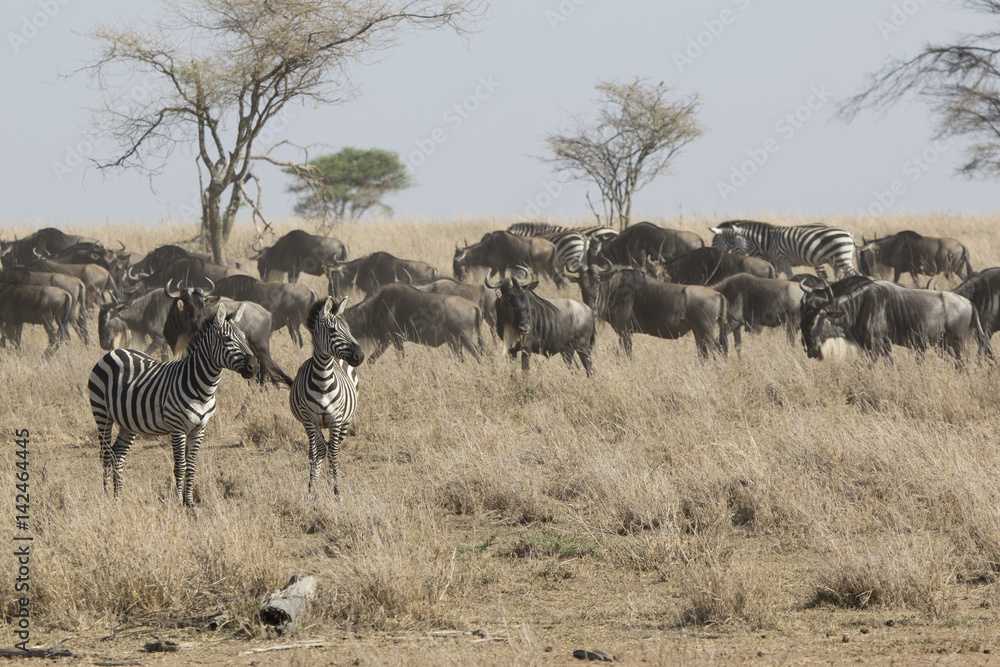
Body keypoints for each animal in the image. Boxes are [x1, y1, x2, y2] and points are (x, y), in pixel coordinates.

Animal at [88, 303, 259, 514]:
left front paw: (190, 505)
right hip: (102, 413)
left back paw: (118, 498)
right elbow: (180, 466)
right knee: (105, 454)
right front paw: (178, 504)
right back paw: (106, 499)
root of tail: (115, 351)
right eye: (227, 339)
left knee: (117, 454)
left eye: (244, 337)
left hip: (128, 422)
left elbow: (191, 467)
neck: (203, 388)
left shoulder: (199, 430)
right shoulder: (178, 429)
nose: (254, 367)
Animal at [289, 296, 365, 498]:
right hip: (312, 424)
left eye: (348, 328)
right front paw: (310, 489)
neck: (323, 380)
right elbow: (316, 452)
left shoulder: (336, 420)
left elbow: (334, 453)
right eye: (332, 330)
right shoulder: (309, 421)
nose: (360, 355)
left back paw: (331, 480)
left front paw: (337, 492)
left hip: (346, 421)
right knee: (321, 448)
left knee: (332, 447)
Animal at [710, 220, 858, 281]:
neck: (768, 240)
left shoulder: (782, 259)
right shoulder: (776, 262)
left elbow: (790, 276)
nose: (733, 256)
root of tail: (849, 234)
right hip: (836, 260)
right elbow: (775, 275)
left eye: (734, 242)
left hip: (842, 257)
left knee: (853, 273)